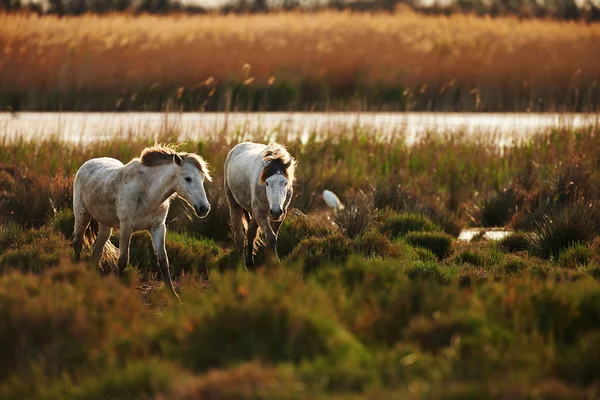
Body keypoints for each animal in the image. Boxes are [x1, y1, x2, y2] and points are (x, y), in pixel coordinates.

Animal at [73, 145, 211, 298]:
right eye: (188, 179)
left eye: (202, 178)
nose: (204, 208)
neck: (147, 193)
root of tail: (87, 164)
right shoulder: (126, 228)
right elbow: (123, 260)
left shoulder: (158, 228)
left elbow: (163, 261)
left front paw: (174, 295)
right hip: (82, 215)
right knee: (78, 243)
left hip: (105, 225)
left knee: (97, 251)